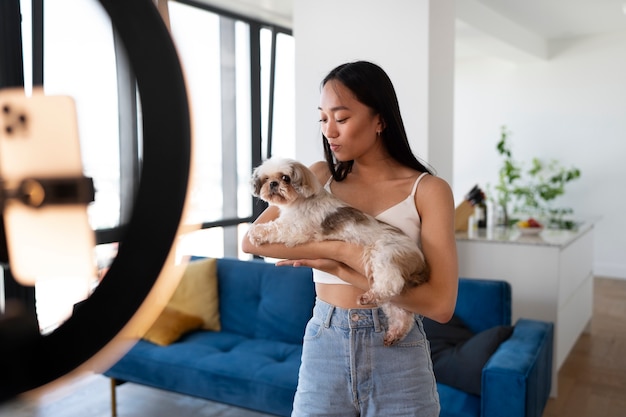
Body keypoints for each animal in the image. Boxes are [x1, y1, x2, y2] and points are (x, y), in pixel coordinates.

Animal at [246, 156, 426, 344]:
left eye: (285, 178)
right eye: (266, 178)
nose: (273, 183)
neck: (299, 201)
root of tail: (419, 258)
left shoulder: (297, 229)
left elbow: (276, 228)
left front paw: (257, 232)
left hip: (384, 254)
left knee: (392, 283)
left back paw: (368, 297)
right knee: (401, 311)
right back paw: (396, 331)